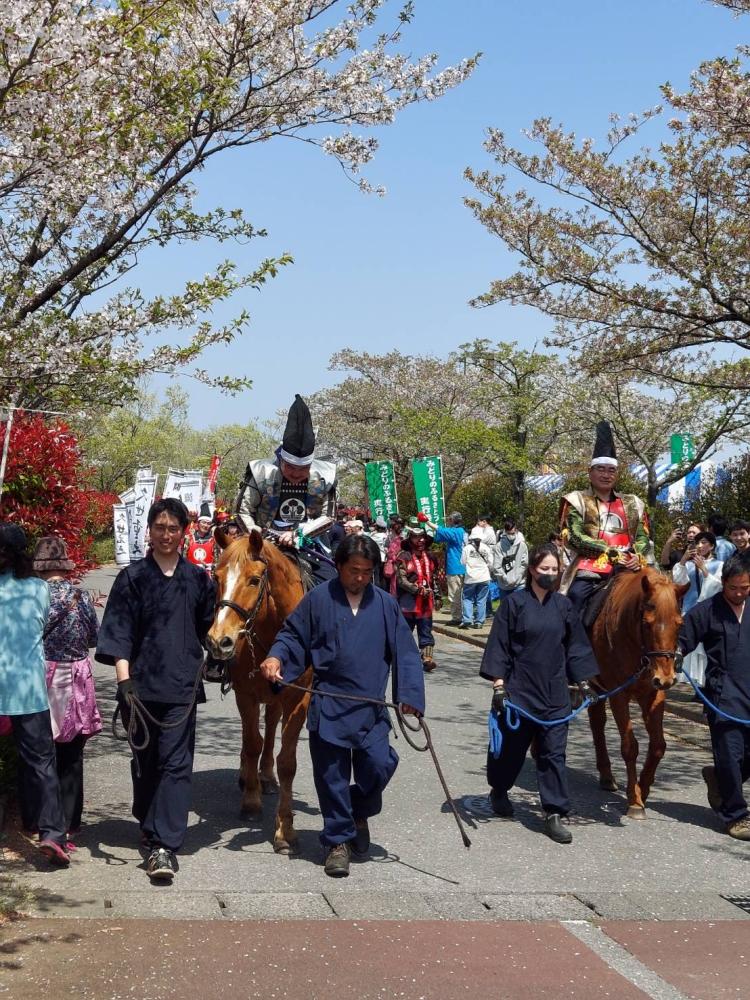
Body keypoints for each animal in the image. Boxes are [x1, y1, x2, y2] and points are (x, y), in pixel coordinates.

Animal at [206, 532, 312, 852]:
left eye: (254, 580)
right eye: (216, 577)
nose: (219, 640)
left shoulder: (298, 699)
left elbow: (287, 762)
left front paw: (284, 830)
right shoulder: (247, 694)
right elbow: (252, 743)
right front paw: (251, 803)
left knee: (272, 726)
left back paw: (266, 776)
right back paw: (249, 776)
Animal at [592, 568, 692, 816]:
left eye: (680, 623)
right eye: (647, 623)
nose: (666, 678)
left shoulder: (653, 694)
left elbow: (658, 746)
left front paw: (643, 789)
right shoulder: (618, 693)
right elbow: (630, 746)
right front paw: (634, 801)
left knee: (597, 723)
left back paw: (606, 776)